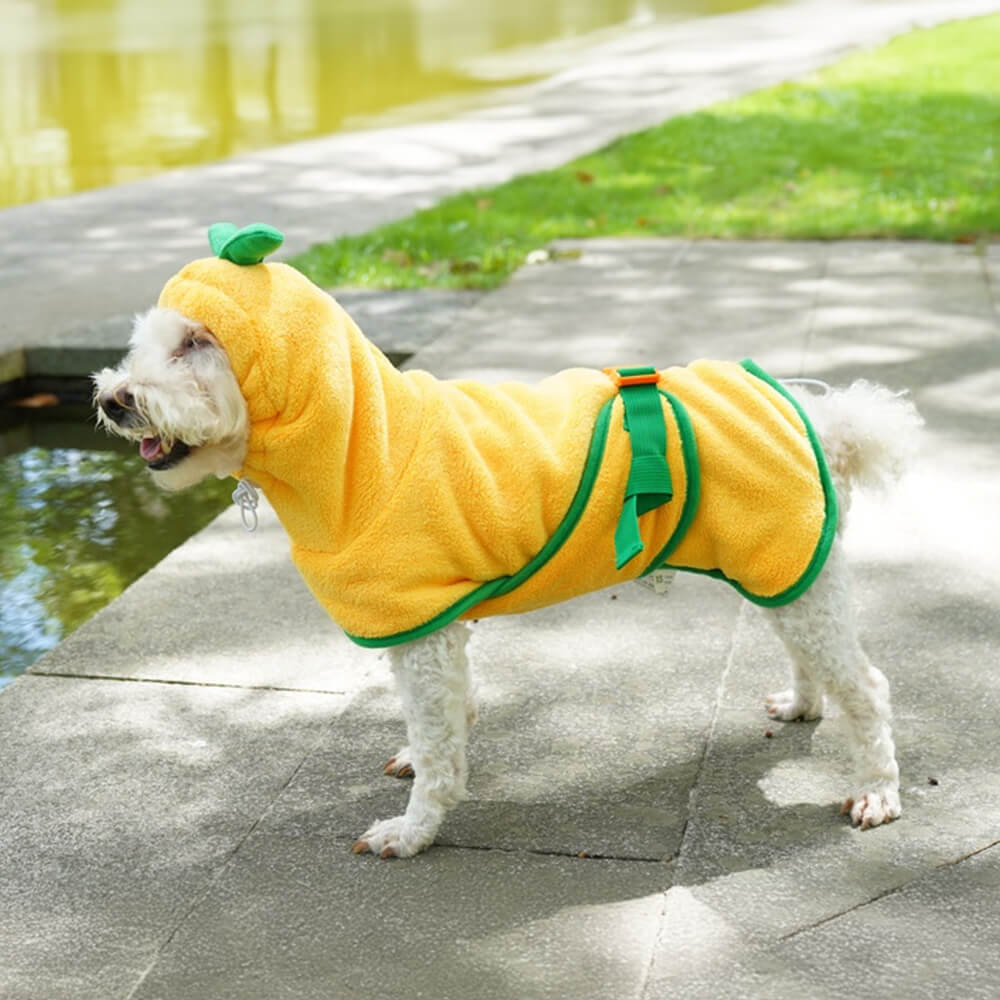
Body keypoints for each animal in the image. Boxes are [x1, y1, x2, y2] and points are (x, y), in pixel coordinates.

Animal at [94, 250, 920, 860]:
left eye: (197, 343)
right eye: (145, 344)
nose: (112, 398)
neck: (367, 449)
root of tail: (822, 416)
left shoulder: (420, 629)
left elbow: (437, 748)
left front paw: (414, 830)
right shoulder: (437, 619)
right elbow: (445, 716)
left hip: (788, 561)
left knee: (868, 686)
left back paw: (877, 789)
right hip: (781, 562)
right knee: (812, 653)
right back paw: (805, 703)